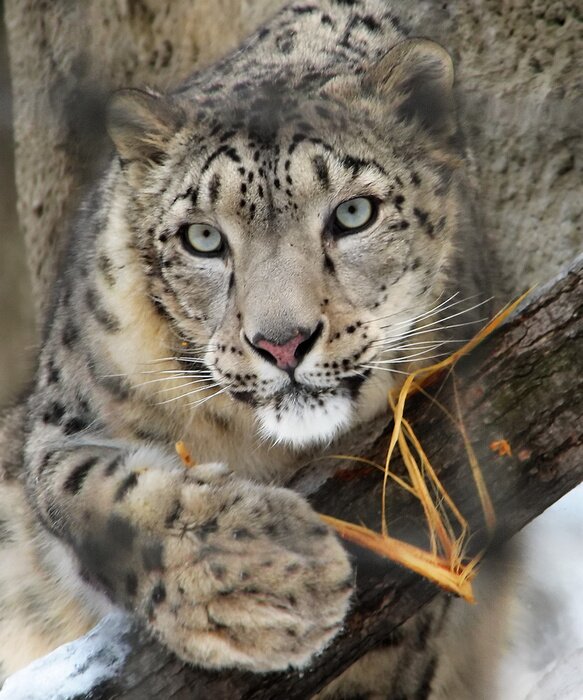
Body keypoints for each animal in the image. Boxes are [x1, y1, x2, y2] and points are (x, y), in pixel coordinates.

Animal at [0, 0, 511, 697]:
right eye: (204, 238)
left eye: (354, 213)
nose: (283, 343)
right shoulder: (64, 423)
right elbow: (96, 499)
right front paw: (267, 578)